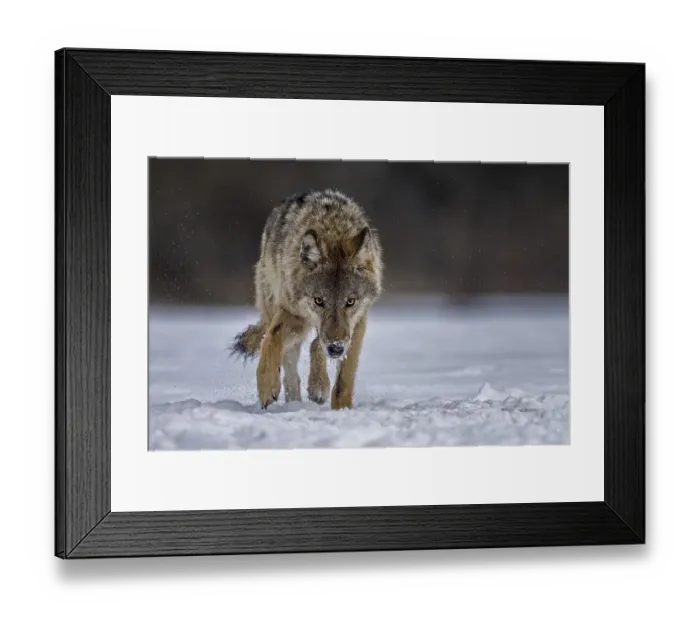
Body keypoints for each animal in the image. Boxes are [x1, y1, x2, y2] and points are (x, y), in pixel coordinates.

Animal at [231, 189, 383, 410]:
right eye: (319, 300)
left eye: (350, 302)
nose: (335, 348)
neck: (333, 228)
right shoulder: (292, 313)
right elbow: (272, 337)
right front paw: (267, 385)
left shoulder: (357, 322)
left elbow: (344, 376)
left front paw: (342, 408)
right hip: (287, 315)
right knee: (289, 362)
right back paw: (294, 399)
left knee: (314, 344)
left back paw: (317, 386)